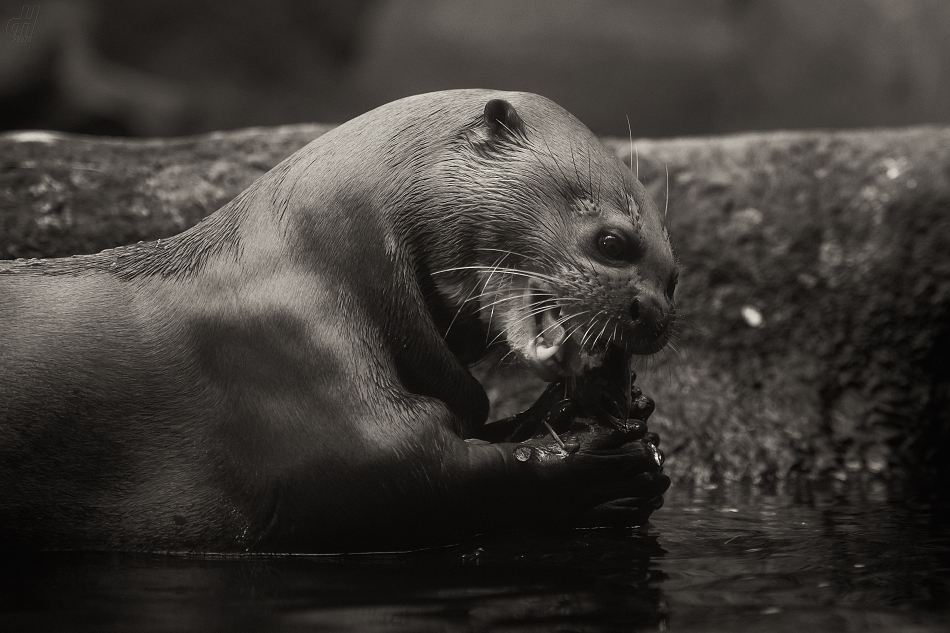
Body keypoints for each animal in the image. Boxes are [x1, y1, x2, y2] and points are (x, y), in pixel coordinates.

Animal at [3, 90, 680, 552]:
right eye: (613, 242)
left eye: (674, 278)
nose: (654, 313)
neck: (331, 260)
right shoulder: (289, 361)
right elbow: (416, 475)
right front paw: (600, 466)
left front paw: (594, 410)